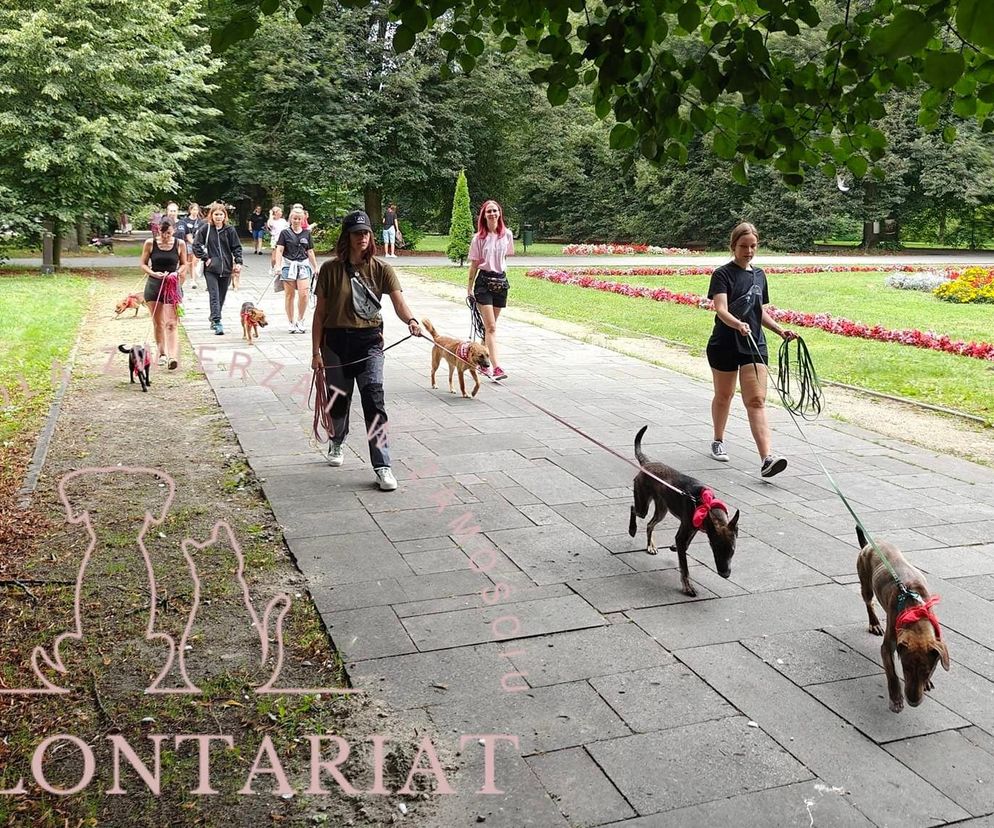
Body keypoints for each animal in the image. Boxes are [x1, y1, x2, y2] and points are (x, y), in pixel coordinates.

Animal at [628, 426, 736, 596]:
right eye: (716, 549)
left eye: (732, 551)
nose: (725, 574)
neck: (706, 505)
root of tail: (648, 464)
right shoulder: (685, 532)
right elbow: (684, 566)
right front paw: (688, 587)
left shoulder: (694, 528)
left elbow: (685, 545)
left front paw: (675, 548)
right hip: (642, 506)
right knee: (634, 509)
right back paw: (632, 529)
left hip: (662, 510)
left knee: (650, 524)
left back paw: (650, 546)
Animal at [852, 528, 944, 716]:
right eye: (906, 668)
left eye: (927, 671)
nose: (913, 702)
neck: (916, 613)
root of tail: (868, 545)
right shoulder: (888, 647)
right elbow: (892, 673)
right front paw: (896, 699)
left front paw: (927, 683)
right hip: (865, 582)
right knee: (869, 601)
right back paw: (874, 623)